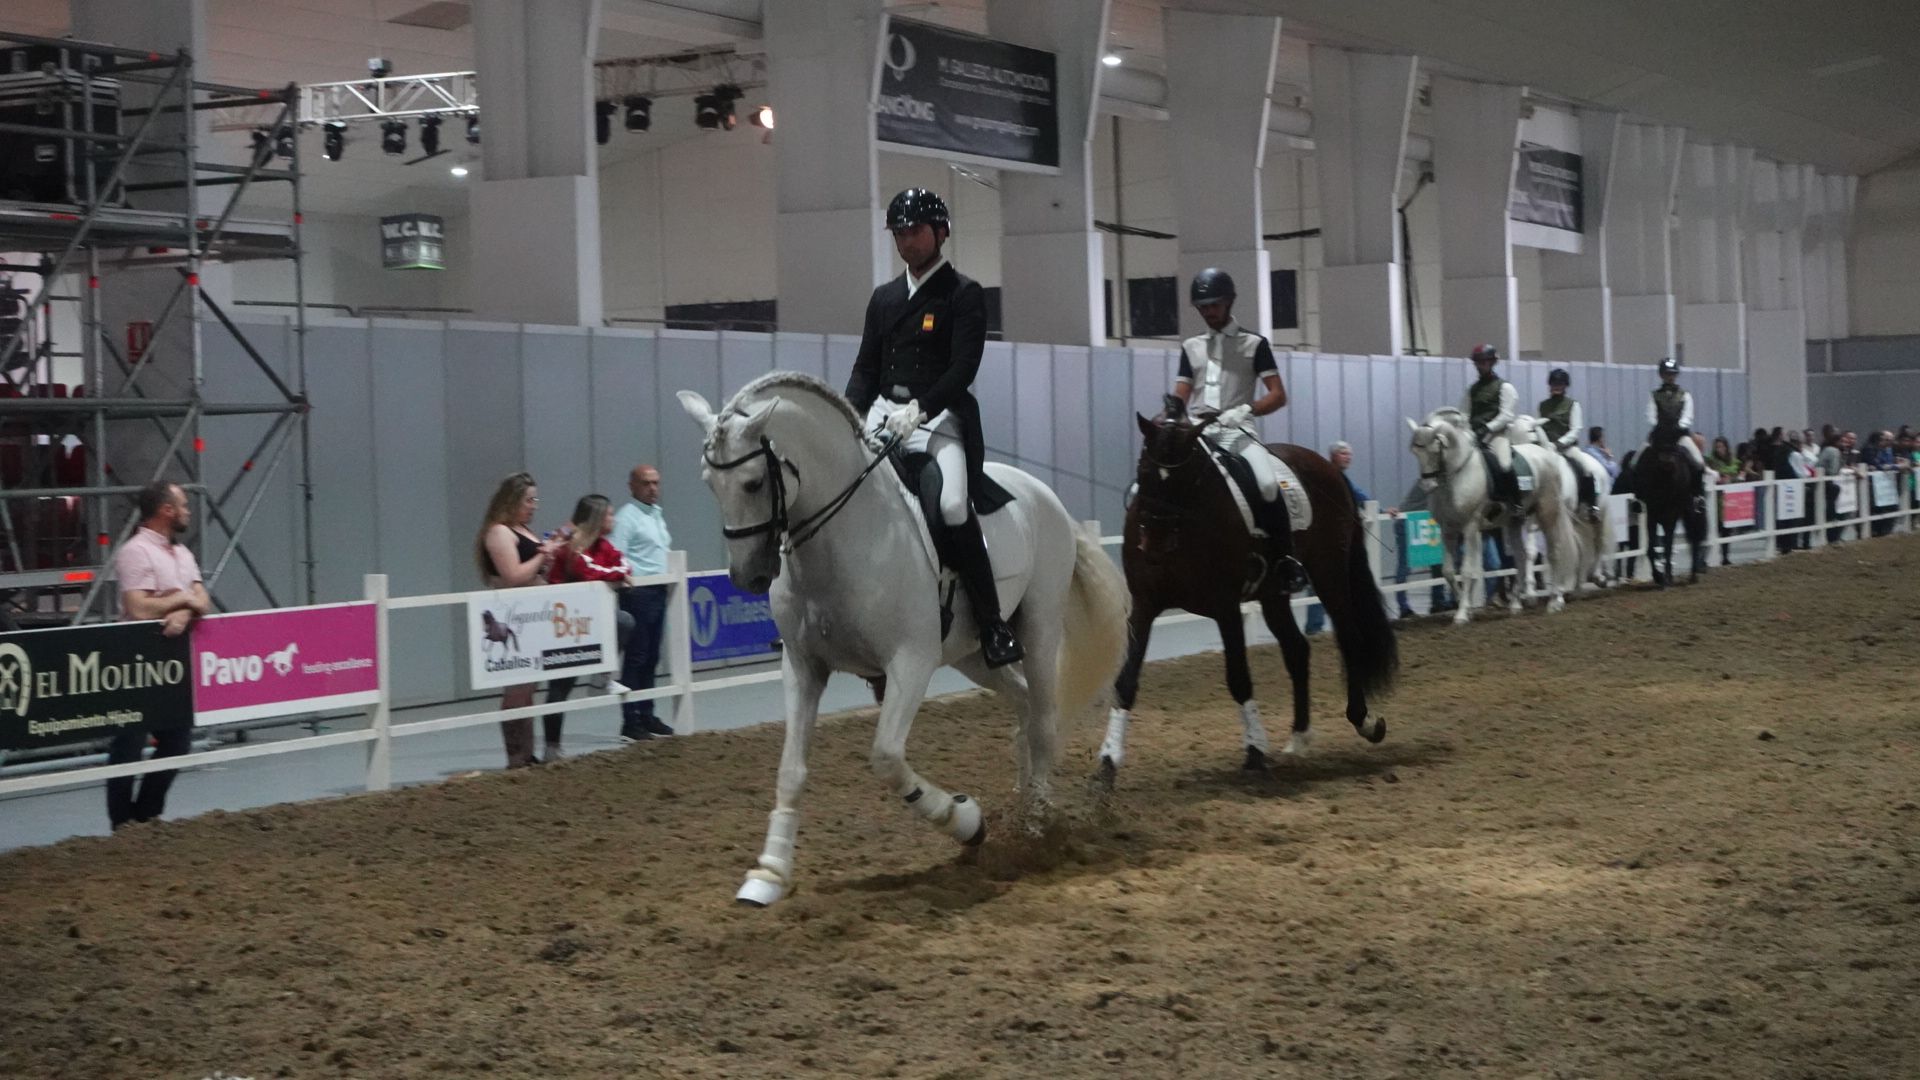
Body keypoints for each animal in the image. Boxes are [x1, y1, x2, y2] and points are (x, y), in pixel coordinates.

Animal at [679, 368, 1128, 899]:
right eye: (709, 483)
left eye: (752, 483)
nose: (747, 576)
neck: (844, 536)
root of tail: (1044, 494)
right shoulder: (803, 666)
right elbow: (791, 770)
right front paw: (768, 873)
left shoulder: (910, 662)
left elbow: (887, 758)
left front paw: (967, 821)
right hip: (971, 654)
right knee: (1022, 706)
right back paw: (1023, 814)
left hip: (1038, 629)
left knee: (1042, 721)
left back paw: (1037, 831)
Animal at [1105, 397, 1405, 780]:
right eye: (1143, 471)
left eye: (1186, 479)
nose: (1153, 545)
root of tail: (1329, 467)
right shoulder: (1144, 605)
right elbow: (1126, 681)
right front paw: (1108, 762)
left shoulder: (1226, 606)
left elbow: (1238, 678)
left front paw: (1255, 751)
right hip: (1273, 594)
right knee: (1297, 650)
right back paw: (1299, 739)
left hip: (1329, 574)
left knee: (1349, 638)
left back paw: (1364, 721)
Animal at [1405, 403, 1582, 622]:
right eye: (1415, 451)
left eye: (1434, 448)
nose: (1428, 485)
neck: (1459, 473)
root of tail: (1545, 454)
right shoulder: (1448, 530)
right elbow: (1448, 572)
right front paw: (1465, 607)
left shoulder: (1470, 527)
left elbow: (1467, 571)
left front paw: (1462, 614)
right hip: (1515, 522)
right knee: (1521, 558)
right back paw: (1516, 604)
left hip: (1547, 514)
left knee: (1554, 551)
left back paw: (1555, 601)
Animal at [1628, 422, 1704, 588]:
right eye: (1656, 434)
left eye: (1675, 435)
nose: (1667, 462)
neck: (1663, 480)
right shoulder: (1652, 513)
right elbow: (1651, 548)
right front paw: (1658, 576)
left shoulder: (1672, 513)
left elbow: (1668, 545)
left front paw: (1667, 578)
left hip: (1688, 509)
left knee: (1694, 536)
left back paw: (1694, 575)